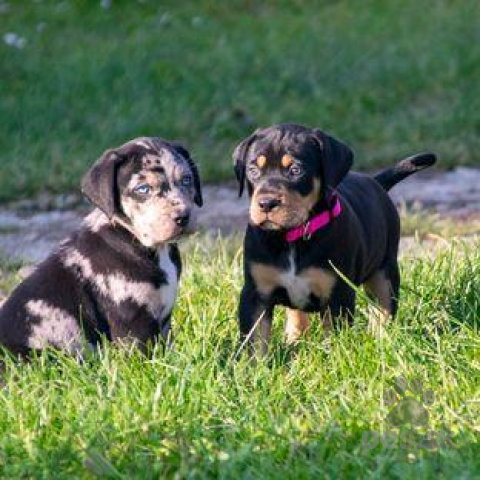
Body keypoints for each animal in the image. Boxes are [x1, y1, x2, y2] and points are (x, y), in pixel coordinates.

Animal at [232, 123, 436, 356]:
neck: (292, 237)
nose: (266, 203)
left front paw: (334, 358)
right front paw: (254, 365)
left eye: (296, 170)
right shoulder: (255, 293)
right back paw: (294, 340)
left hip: (385, 270)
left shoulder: (338, 295)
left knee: (383, 310)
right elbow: (254, 341)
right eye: (253, 170)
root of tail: (374, 181)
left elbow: (334, 338)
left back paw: (381, 343)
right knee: (296, 314)